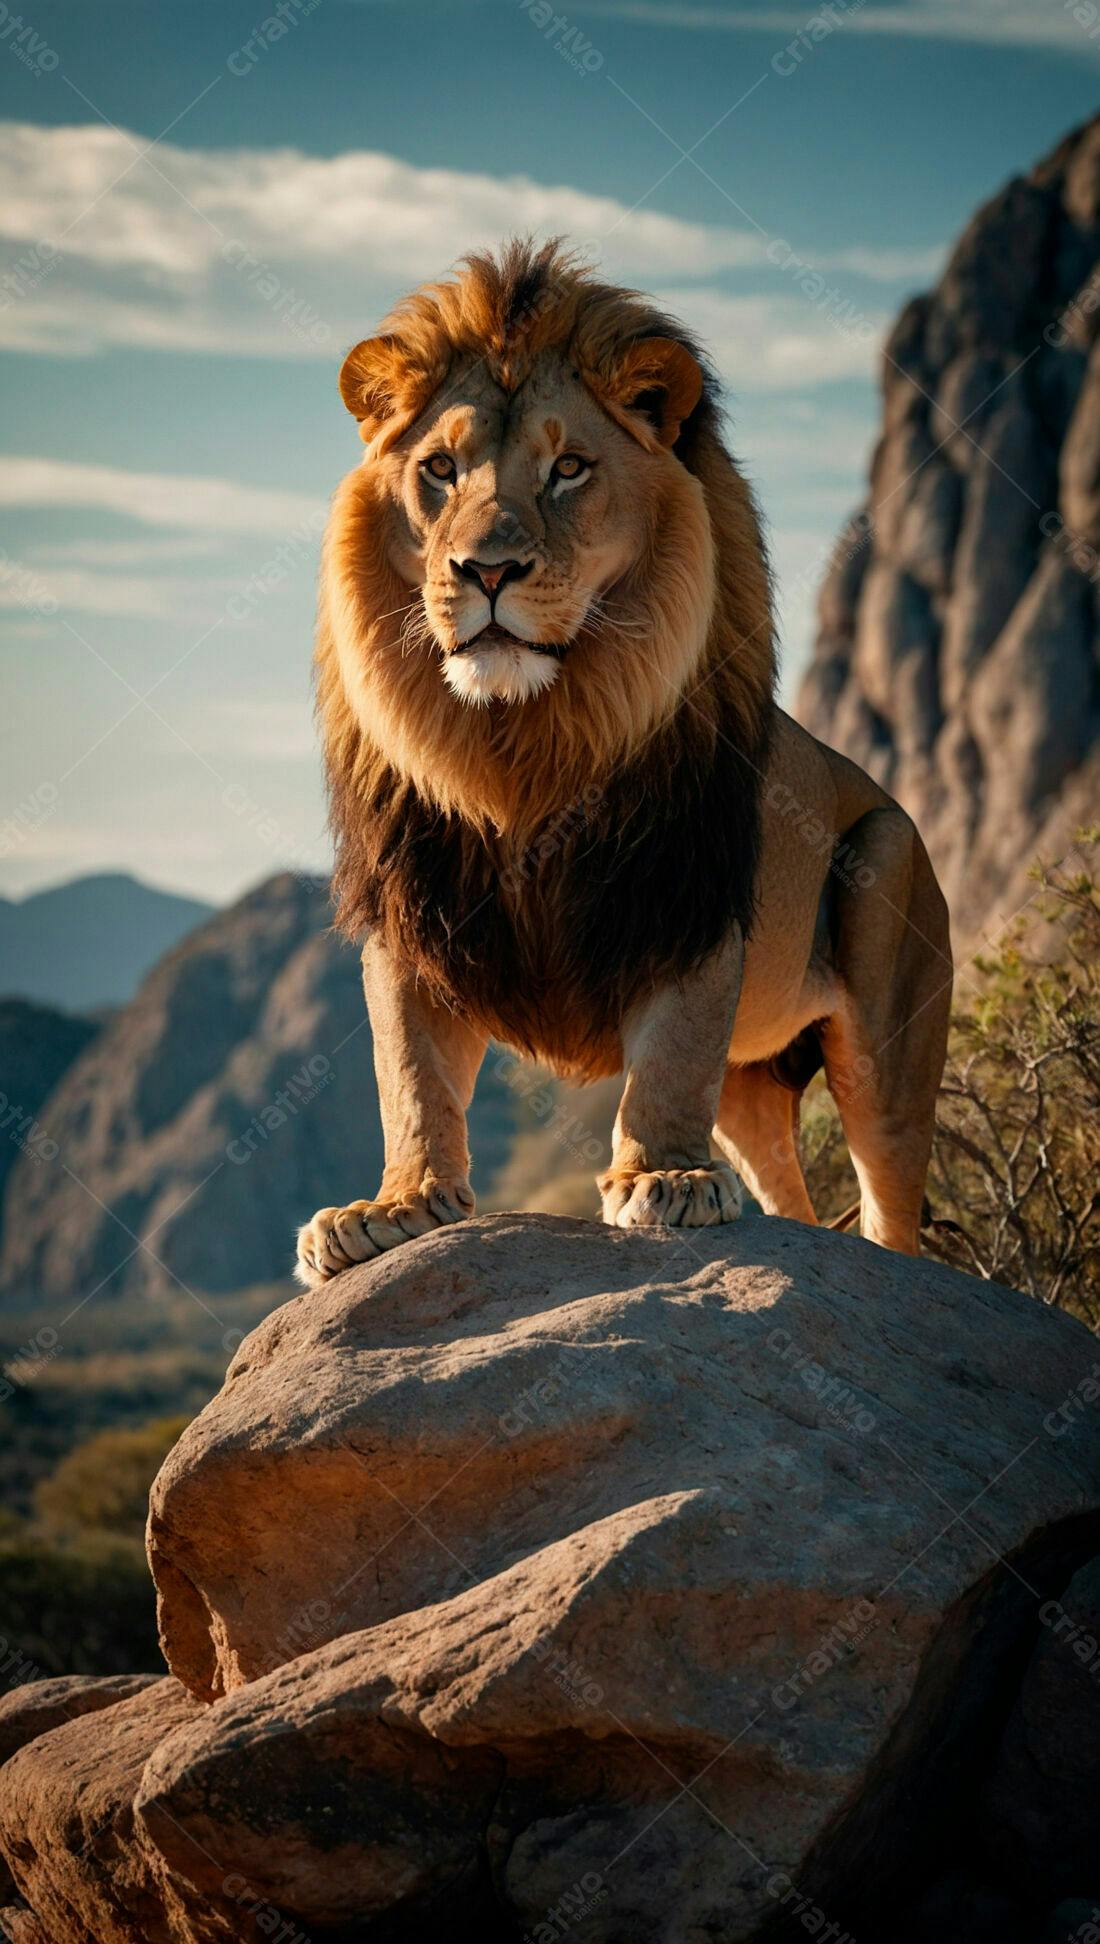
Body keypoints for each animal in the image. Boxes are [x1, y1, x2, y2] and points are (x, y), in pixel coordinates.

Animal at [296, 239, 951, 1288]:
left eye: (568, 468)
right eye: (439, 469)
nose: (486, 570)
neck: (520, 744)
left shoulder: (684, 895)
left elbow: (672, 1053)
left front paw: (664, 1181)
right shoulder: (413, 910)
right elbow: (410, 1071)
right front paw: (394, 1207)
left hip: (888, 985)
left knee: (892, 1209)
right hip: (753, 1085)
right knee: (791, 1196)